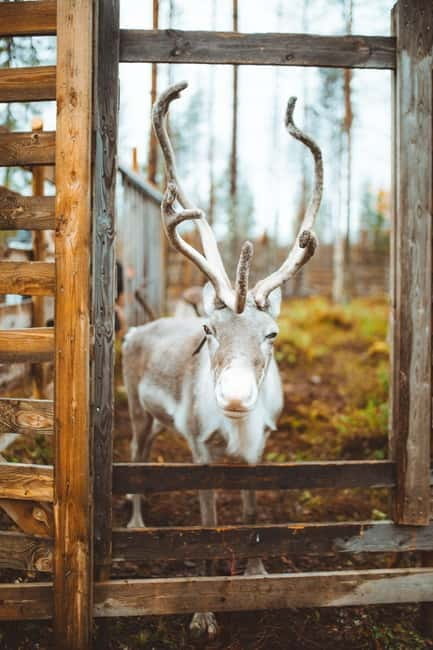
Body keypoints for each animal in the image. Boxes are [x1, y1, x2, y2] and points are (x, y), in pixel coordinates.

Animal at [122, 81, 323, 639]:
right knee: (136, 454)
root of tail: (137, 329)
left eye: (272, 333)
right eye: (209, 330)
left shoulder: (261, 445)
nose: (234, 395)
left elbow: (252, 514)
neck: (236, 430)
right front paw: (203, 612)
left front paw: (257, 574)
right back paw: (135, 522)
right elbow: (209, 525)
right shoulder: (199, 446)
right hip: (138, 412)